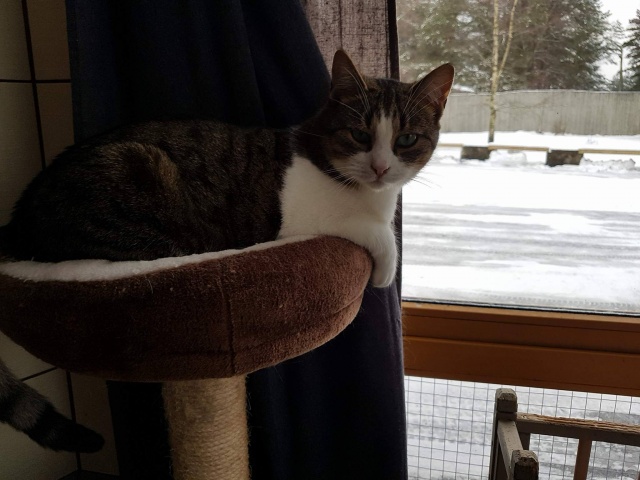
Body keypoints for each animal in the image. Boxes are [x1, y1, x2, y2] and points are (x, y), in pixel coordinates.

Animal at [0, 50, 454, 451]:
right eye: (359, 135)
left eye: (406, 139)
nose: (380, 168)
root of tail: (18, 219)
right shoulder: (301, 223)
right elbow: (379, 235)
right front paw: (384, 270)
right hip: (136, 185)